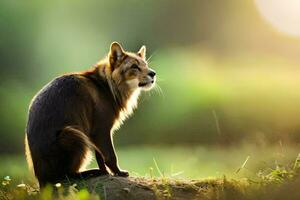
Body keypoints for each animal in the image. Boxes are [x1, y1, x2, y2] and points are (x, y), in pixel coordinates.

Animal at [24, 42, 156, 188]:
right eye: (134, 66)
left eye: (145, 64)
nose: (153, 73)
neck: (106, 86)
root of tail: (42, 180)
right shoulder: (102, 130)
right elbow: (110, 155)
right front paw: (118, 172)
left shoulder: (94, 133)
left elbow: (100, 157)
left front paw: (105, 172)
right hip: (73, 134)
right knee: (66, 176)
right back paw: (90, 172)